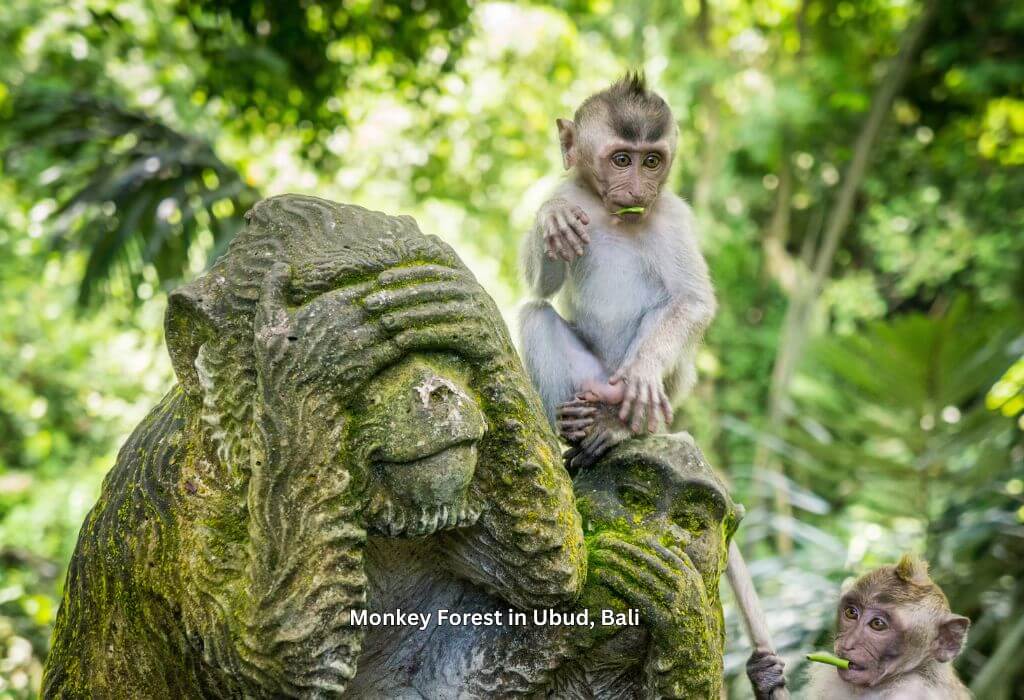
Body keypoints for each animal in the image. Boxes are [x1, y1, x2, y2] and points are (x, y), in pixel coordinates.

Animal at [518, 72, 716, 469]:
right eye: (622, 159)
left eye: (652, 161)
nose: (639, 190)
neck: (611, 214)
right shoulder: (569, 191)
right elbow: (541, 287)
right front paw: (551, 215)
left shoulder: (673, 217)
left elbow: (693, 301)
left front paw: (644, 371)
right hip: (588, 377)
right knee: (534, 313)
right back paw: (571, 424)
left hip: (652, 390)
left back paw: (622, 427)